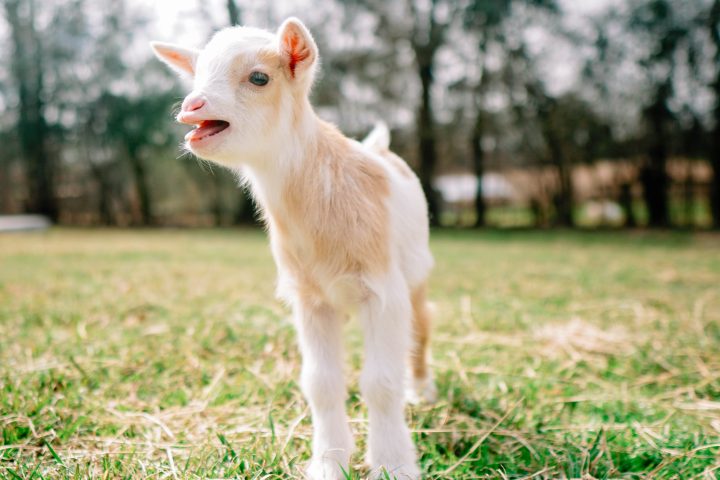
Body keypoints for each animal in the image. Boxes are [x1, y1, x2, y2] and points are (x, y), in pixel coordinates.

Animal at [152, 17, 436, 479]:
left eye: (259, 78)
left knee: (423, 324)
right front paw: (329, 463)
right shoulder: (310, 297)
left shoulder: (382, 291)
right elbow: (320, 383)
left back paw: (422, 390)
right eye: (197, 74)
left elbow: (381, 382)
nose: (192, 106)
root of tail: (378, 147)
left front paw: (393, 464)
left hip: (416, 269)